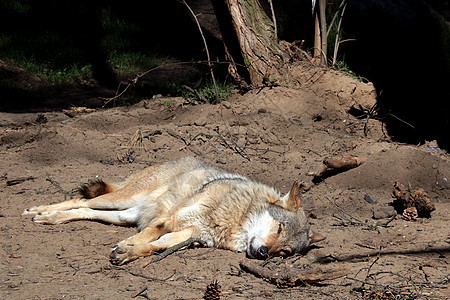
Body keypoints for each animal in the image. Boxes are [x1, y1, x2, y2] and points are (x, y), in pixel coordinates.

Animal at [22, 156, 324, 264]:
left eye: (284, 252)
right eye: (279, 228)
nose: (262, 253)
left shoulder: (190, 235)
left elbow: (155, 246)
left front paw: (128, 252)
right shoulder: (170, 219)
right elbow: (148, 235)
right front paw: (129, 246)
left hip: (122, 215)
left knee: (84, 211)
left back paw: (50, 218)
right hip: (120, 200)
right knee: (80, 201)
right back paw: (39, 212)